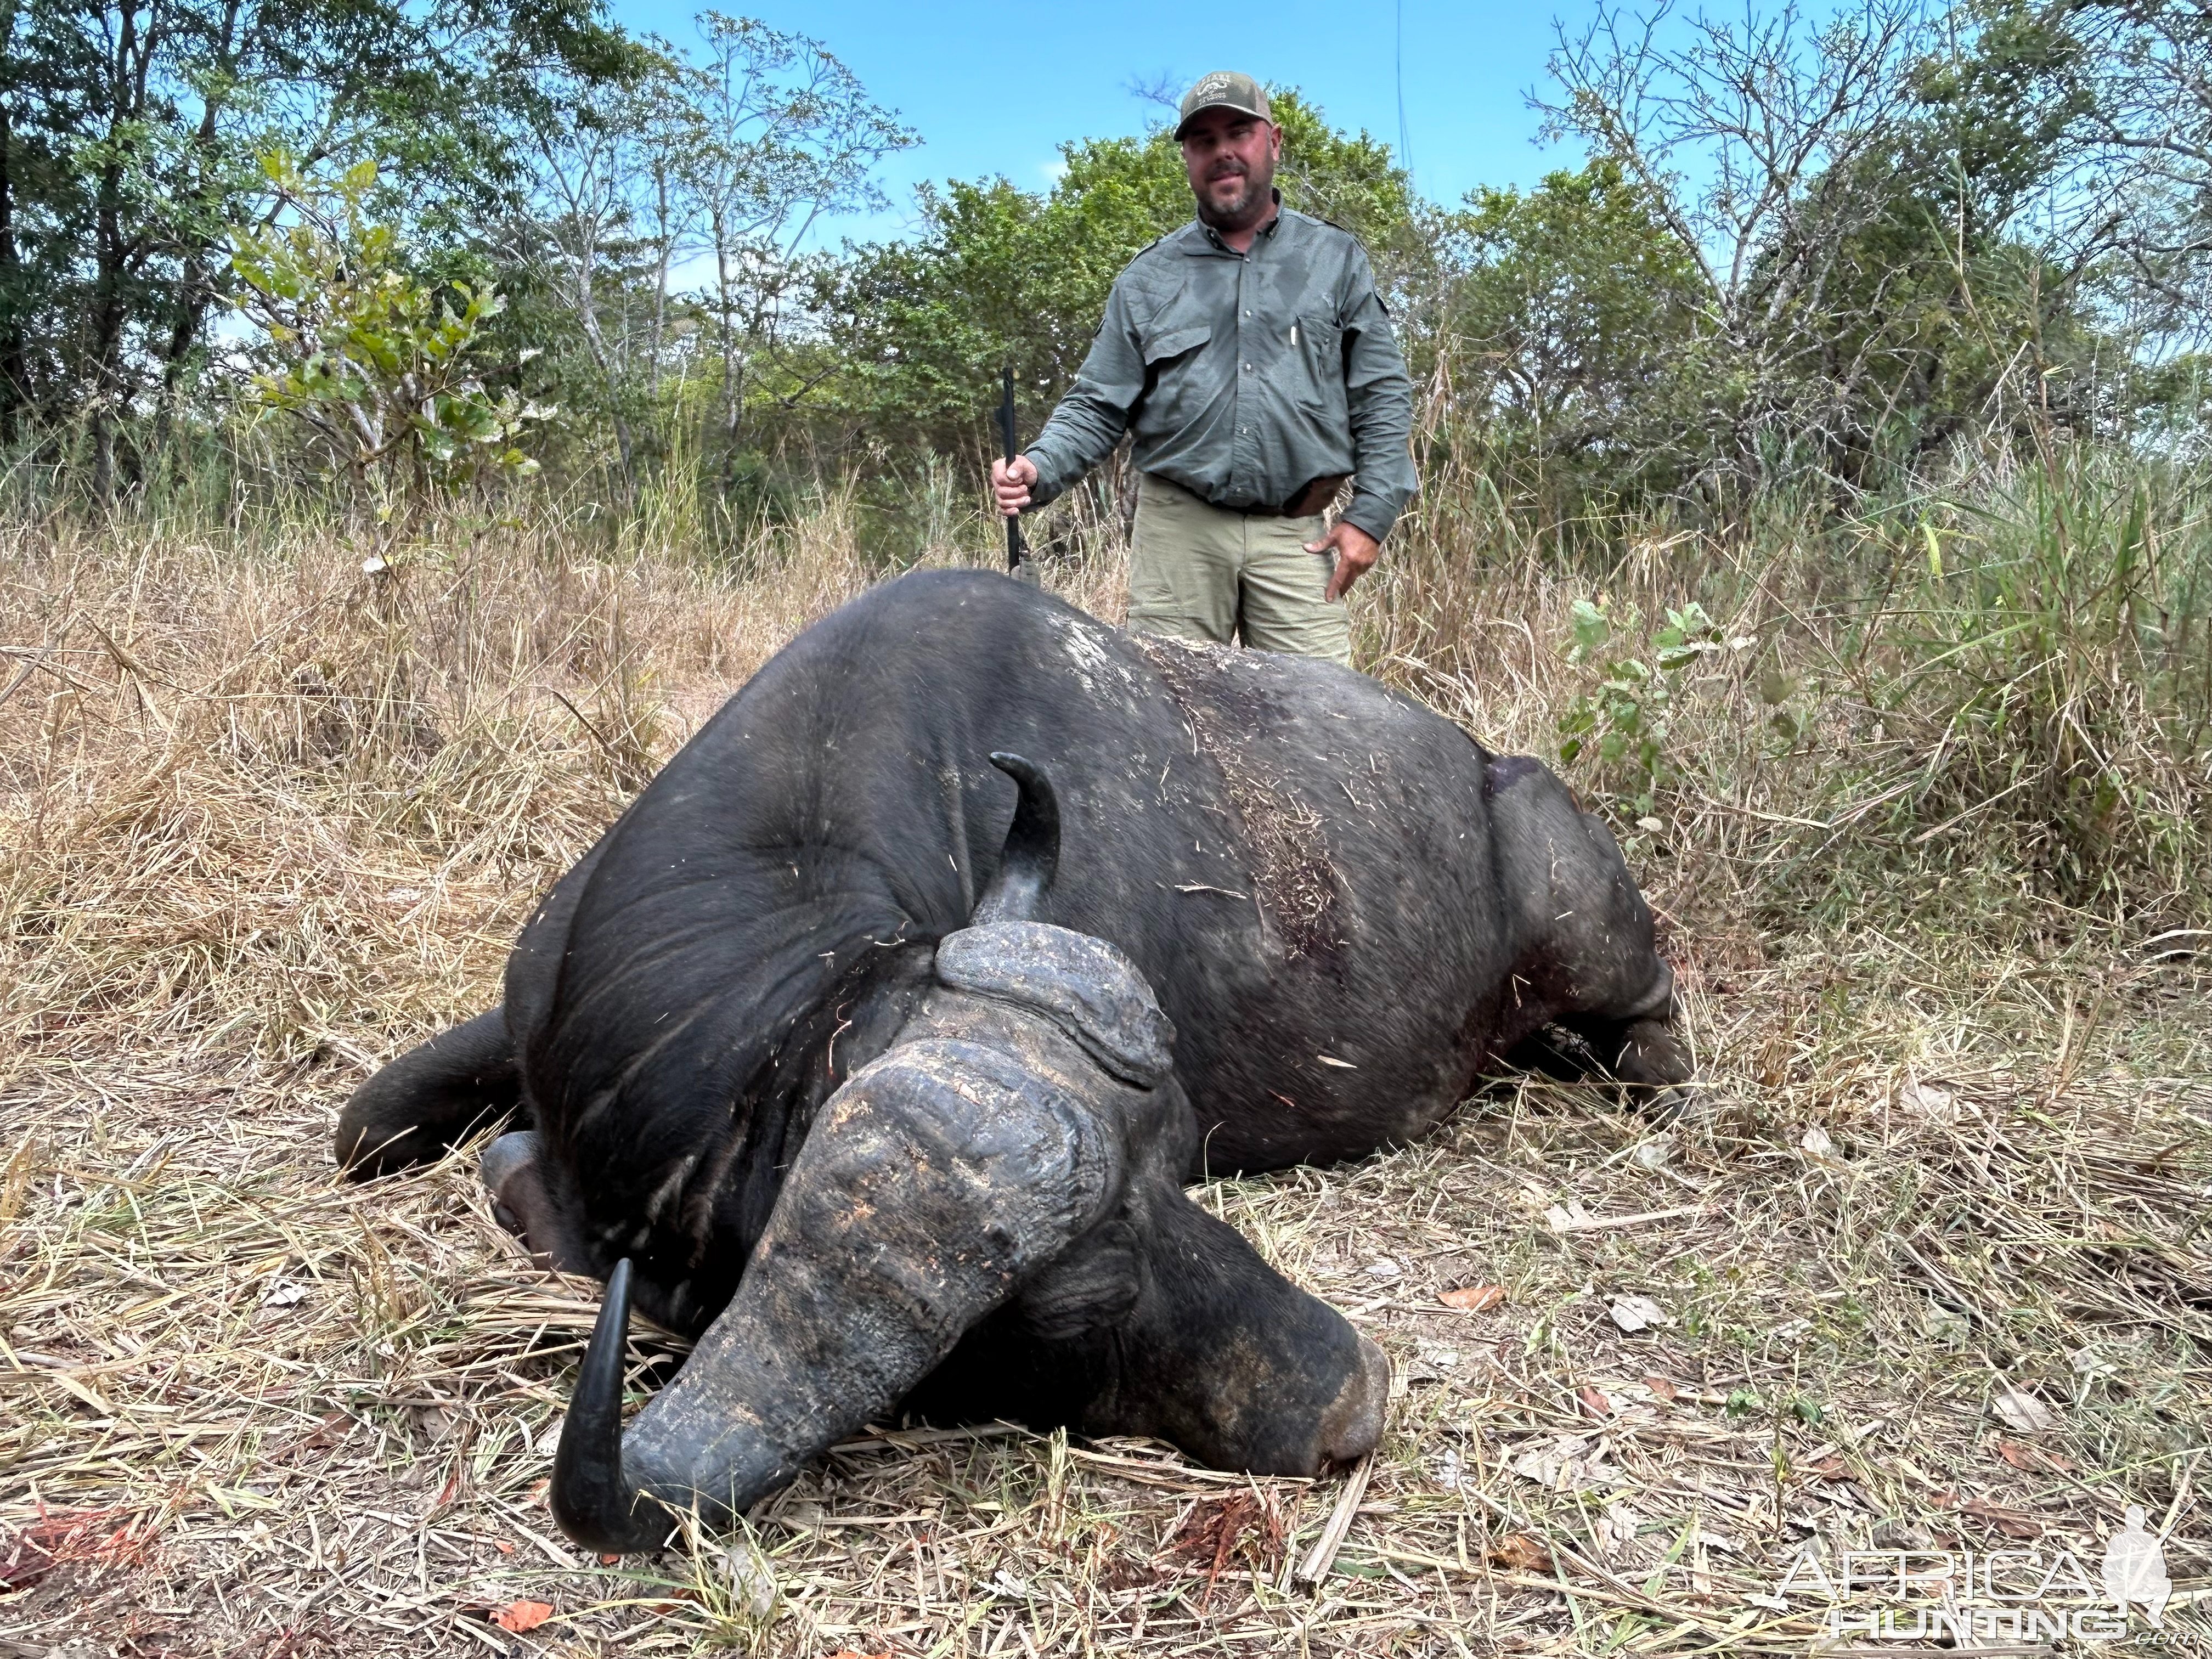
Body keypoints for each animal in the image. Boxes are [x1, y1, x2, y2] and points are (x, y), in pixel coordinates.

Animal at [336, 571, 1681, 1557]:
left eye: (1178, 1177)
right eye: (1084, 1299)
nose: (1357, 1396)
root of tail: (1494, 770)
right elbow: (368, 1124)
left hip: (1600, 941)